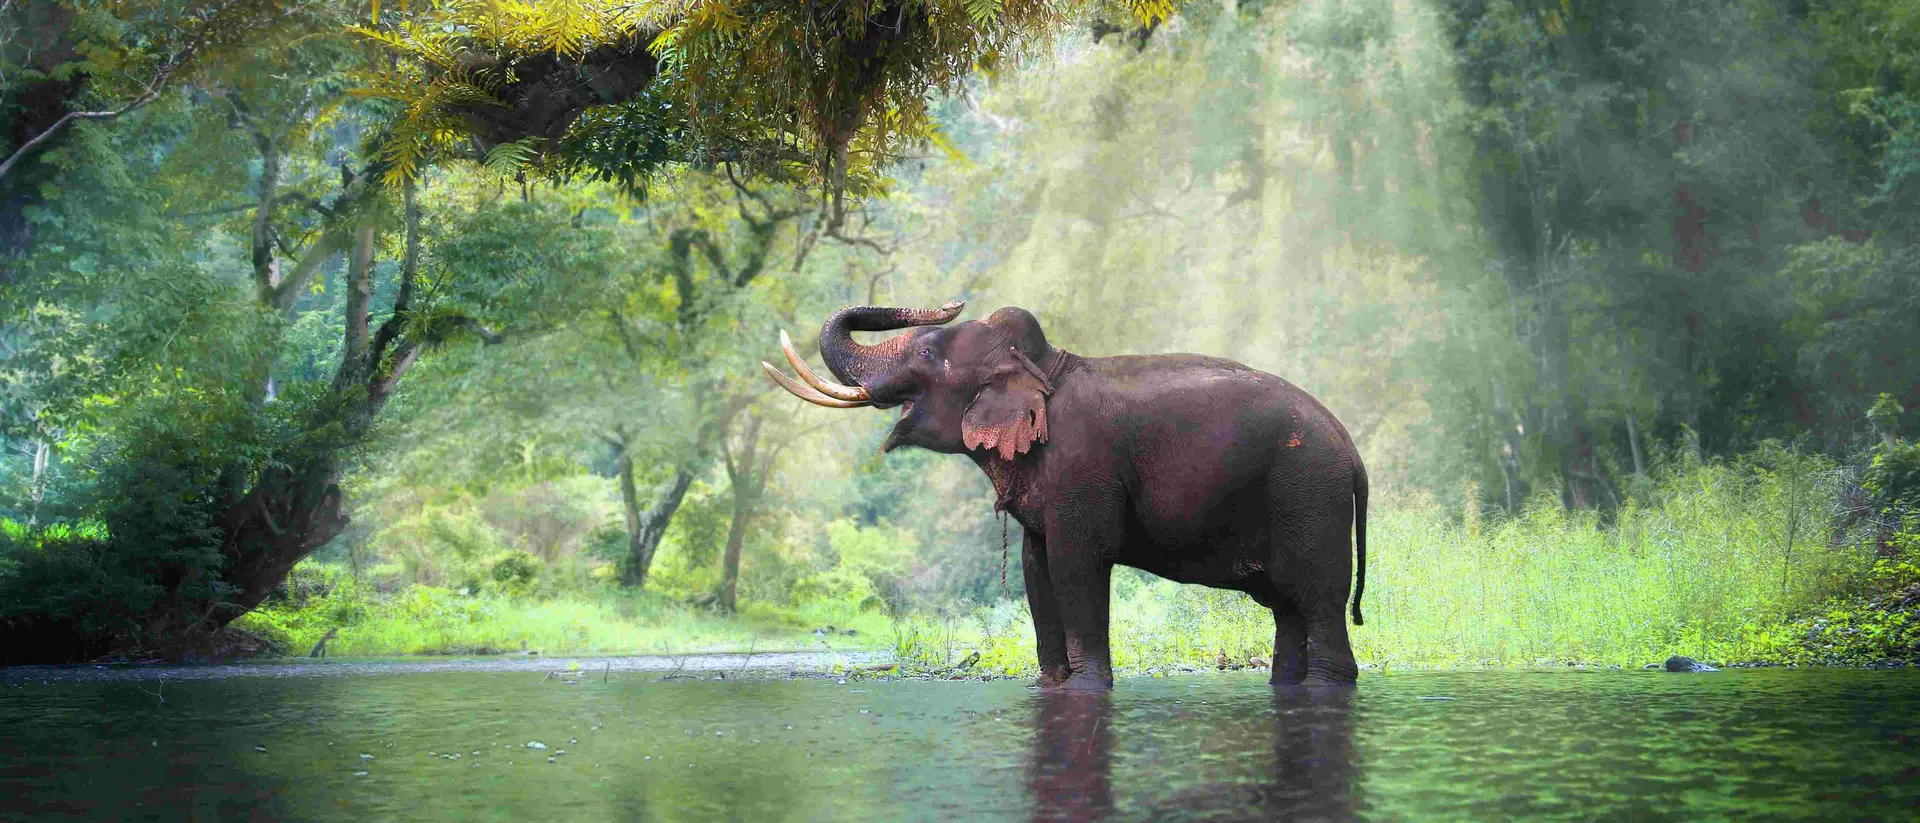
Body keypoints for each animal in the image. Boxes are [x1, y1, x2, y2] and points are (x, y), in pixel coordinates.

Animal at [761, 301, 1367, 689]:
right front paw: (1050, 684)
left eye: (929, 352)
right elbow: (1037, 568)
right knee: (1288, 610)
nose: (950, 302)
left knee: (1318, 603)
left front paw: (1086, 688)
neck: (1044, 365)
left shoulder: (1083, 468)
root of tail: (1355, 456)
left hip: (1310, 499)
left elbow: (1078, 563)